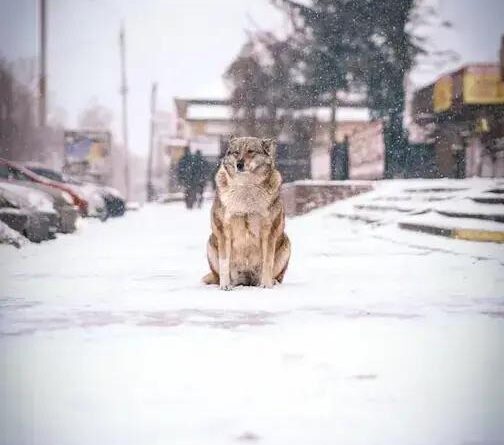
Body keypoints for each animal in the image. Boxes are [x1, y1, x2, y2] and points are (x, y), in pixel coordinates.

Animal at [202, 135, 290, 290]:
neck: (246, 186)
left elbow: (268, 261)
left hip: (286, 243)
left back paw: (271, 282)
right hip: (211, 243)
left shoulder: (269, 231)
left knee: (277, 276)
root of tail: (247, 281)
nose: (239, 164)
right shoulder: (224, 230)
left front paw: (266, 285)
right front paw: (225, 286)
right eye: (236, 152)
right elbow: (224, 262)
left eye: (250, 151)